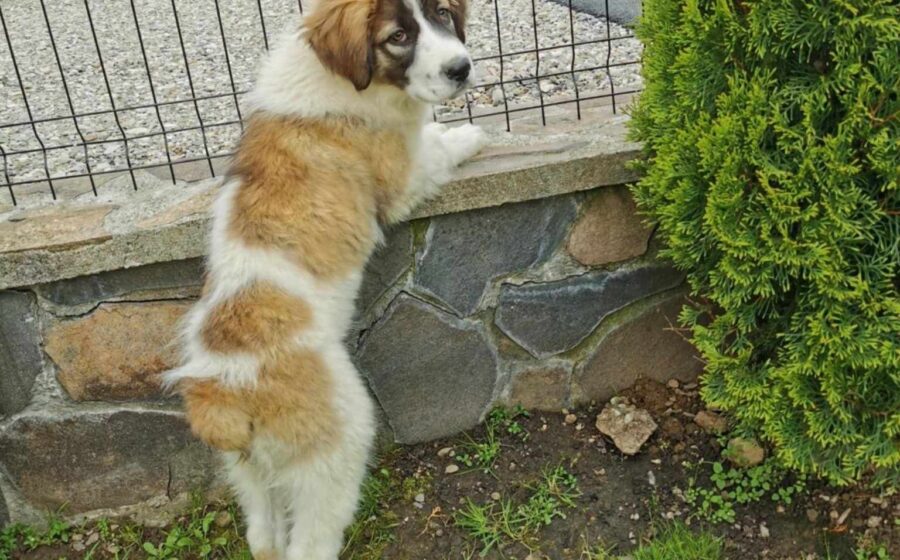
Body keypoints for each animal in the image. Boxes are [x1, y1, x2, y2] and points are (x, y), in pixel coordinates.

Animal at [162, 0, 484, 558]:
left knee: (263, 533)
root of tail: (228, 394)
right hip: (337, 444)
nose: (460, 69)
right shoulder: (401, 176)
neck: (343, 78)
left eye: (443, 14)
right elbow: (437, 149)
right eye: (398, 37)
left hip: (250, 470)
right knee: (310, 540)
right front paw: (470, 134)